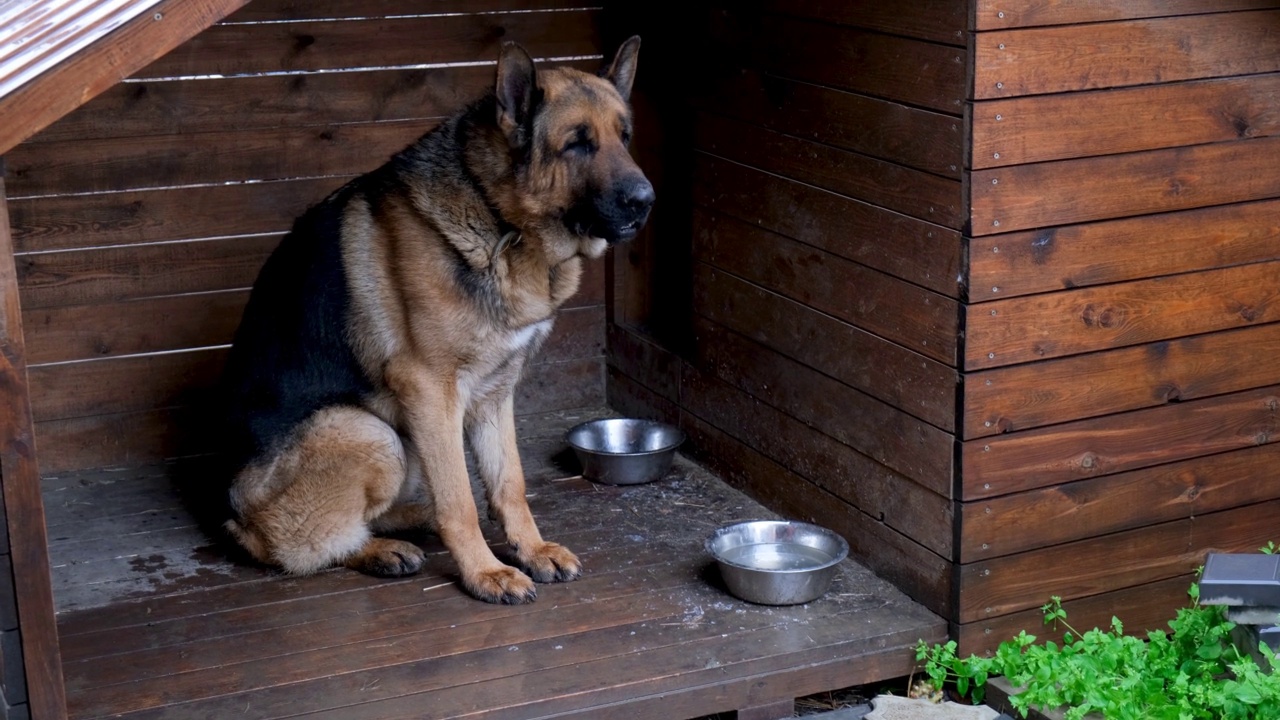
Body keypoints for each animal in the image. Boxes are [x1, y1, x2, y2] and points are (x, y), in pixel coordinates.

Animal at [216, 37, 655, 599]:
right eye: (577, 144)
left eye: (624, 138)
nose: (646, 201)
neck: (501, 220)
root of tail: (232, 512)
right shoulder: (430, 391)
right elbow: (460, 498)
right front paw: (486, 571)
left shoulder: (494, 393)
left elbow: (509, 482)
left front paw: (530, 549)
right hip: (373, 435)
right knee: (304, 545)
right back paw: (379, 549)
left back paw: (410, 521)